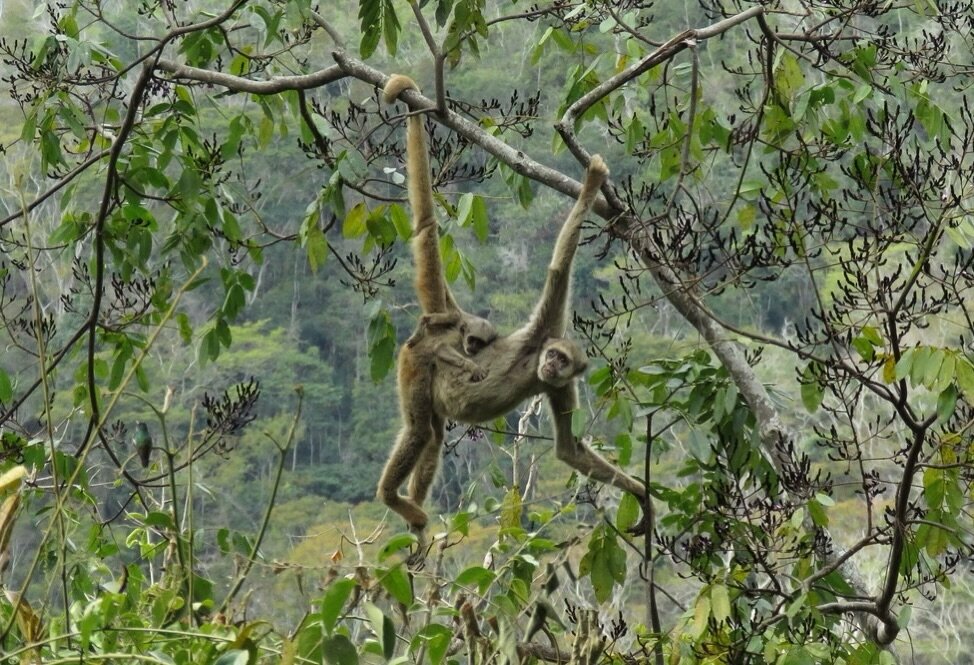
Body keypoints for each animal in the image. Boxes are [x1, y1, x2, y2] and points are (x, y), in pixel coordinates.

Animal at [380, 75, 648, 536]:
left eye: (563, 362)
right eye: (553, 354)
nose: (552, 365)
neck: (533, 362)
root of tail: (446, 322)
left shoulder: (559, 387)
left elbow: (569, 450)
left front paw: (641, 495)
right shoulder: (542, 329)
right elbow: (559, 268)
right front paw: (591, 183)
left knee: (430, 434)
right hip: (415, 360)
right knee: (418, 431)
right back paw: (389, 498)